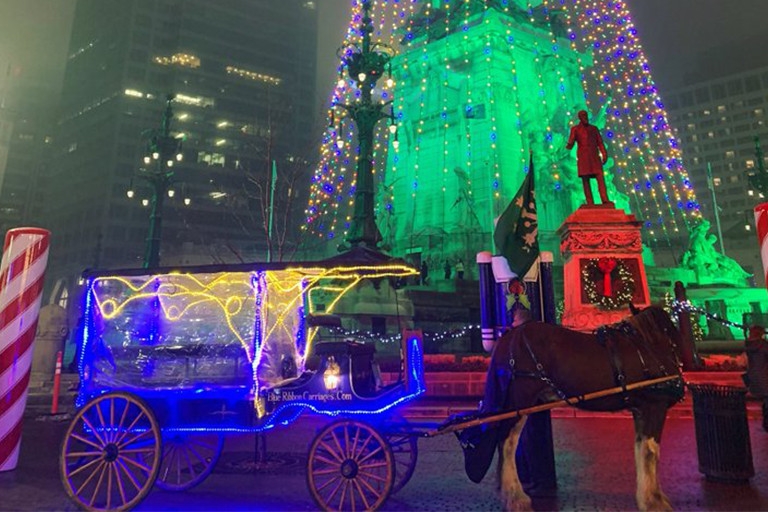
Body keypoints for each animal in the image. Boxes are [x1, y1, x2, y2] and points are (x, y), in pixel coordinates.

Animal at [480, 306, 684, 510]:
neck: (649, 345)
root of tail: (509, 336)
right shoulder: (654, 406)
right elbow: (650, 452)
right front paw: (654, 501)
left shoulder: (641, 410)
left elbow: (640, 449)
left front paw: (648, 497)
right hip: (519, 402)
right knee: (507, 443)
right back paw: (516, 497)